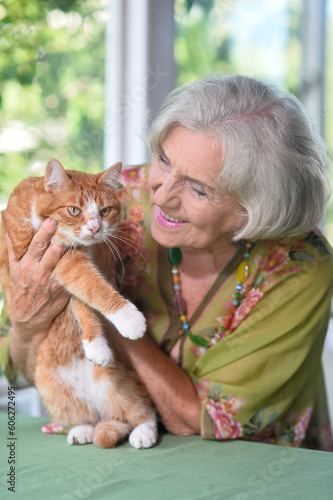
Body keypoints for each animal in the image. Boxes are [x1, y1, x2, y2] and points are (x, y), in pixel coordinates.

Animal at [0, 160, 158, 450]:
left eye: (105, 211)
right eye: (74, 210)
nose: (95, 228)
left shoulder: (78, 265)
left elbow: (85, 300)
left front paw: (97, 345)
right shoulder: (59, 257)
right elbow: (91, 286)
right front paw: (128, 318)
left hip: (118, 385)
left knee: (138, 410)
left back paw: (143, 432)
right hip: (52, 390)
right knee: (87, 417)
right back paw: (82, 429)